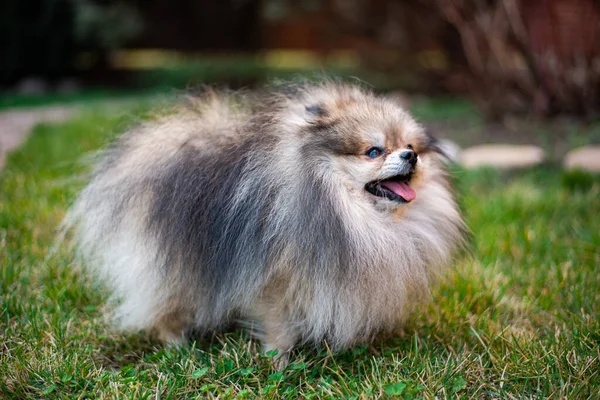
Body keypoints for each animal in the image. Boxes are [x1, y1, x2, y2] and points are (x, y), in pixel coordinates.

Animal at [68, 80, 466, 362]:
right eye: (373, 151)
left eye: (409, 144)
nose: (411, 156)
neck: (357, 217)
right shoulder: (273, 282)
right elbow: (279, 326)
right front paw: (279, 362)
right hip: (174, 264)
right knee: (167, 304)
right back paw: (176, 345)